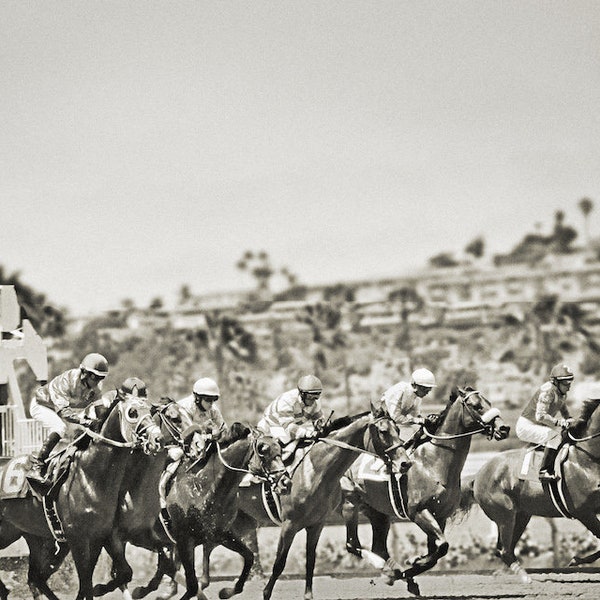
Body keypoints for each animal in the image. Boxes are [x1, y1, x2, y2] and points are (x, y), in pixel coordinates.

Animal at [0, 390, 163, 600]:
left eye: (150, 410)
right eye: (132, 412)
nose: (157, 439)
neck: (90, 477)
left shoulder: (103, 535)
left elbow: (118, 574)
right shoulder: (78, 539)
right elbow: (86, 583)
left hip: (28, 534)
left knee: (36, 578)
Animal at [162, 422, 290, 600]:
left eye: (280, 450)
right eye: (263, 450)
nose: (286, 482)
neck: (203, 489)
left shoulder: (220, 534)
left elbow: (249, 557)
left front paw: (227, 592)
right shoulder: (184, 539)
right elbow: (192, 585)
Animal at [203, 400, 412, 600]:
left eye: (398, 429)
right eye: (383, 431)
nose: (405, 463)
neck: (316, 471)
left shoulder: (317, 524)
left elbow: (311, 560)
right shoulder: (289, 524)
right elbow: (279, 563)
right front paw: (266, 593)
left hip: (237, 521)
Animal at [342, 390, 510, 596]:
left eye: (489, 402)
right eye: (476, 406)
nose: (504, 428)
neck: (433, 462)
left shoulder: (440, 515)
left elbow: (437, 552)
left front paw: (413, 568)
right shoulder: (419, 512)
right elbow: (442, 546)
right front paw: (413, 563)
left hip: (378, 512)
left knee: (379, 548)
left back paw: (392, 572)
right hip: (350, 503)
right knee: (352, 544)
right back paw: (391, 571)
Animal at [460, 396, 600, 584]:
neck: (587, 459)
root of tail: (478, 475)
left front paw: (576, 559)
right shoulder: (582, 511)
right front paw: (575, 559)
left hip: (521, 515)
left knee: (504, 549)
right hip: (505, 516)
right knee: (504, 550)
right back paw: (525, 577)